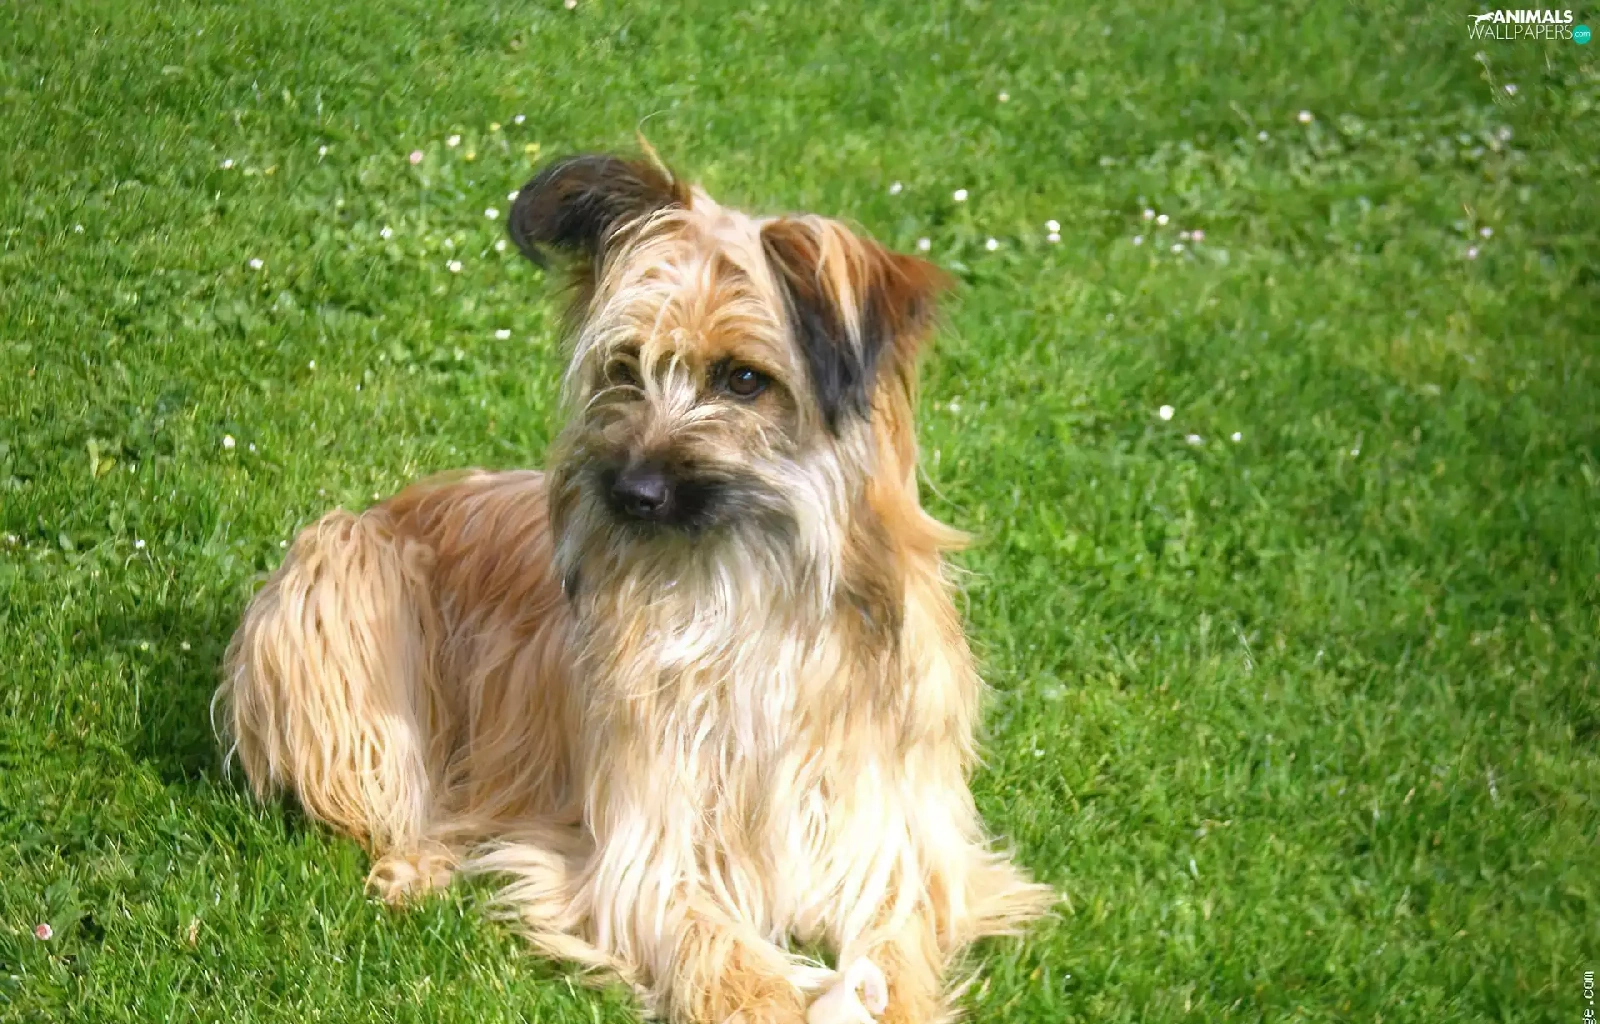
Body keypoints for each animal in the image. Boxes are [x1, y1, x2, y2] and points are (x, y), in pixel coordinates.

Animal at [216, 152, 1053, 1024]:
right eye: (624, 368)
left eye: (745, 379)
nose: (632, 492)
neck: (744, 594)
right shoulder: (649, 855)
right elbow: (723, 954)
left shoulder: (892, 846)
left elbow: (896, 943)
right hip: (340, 575)